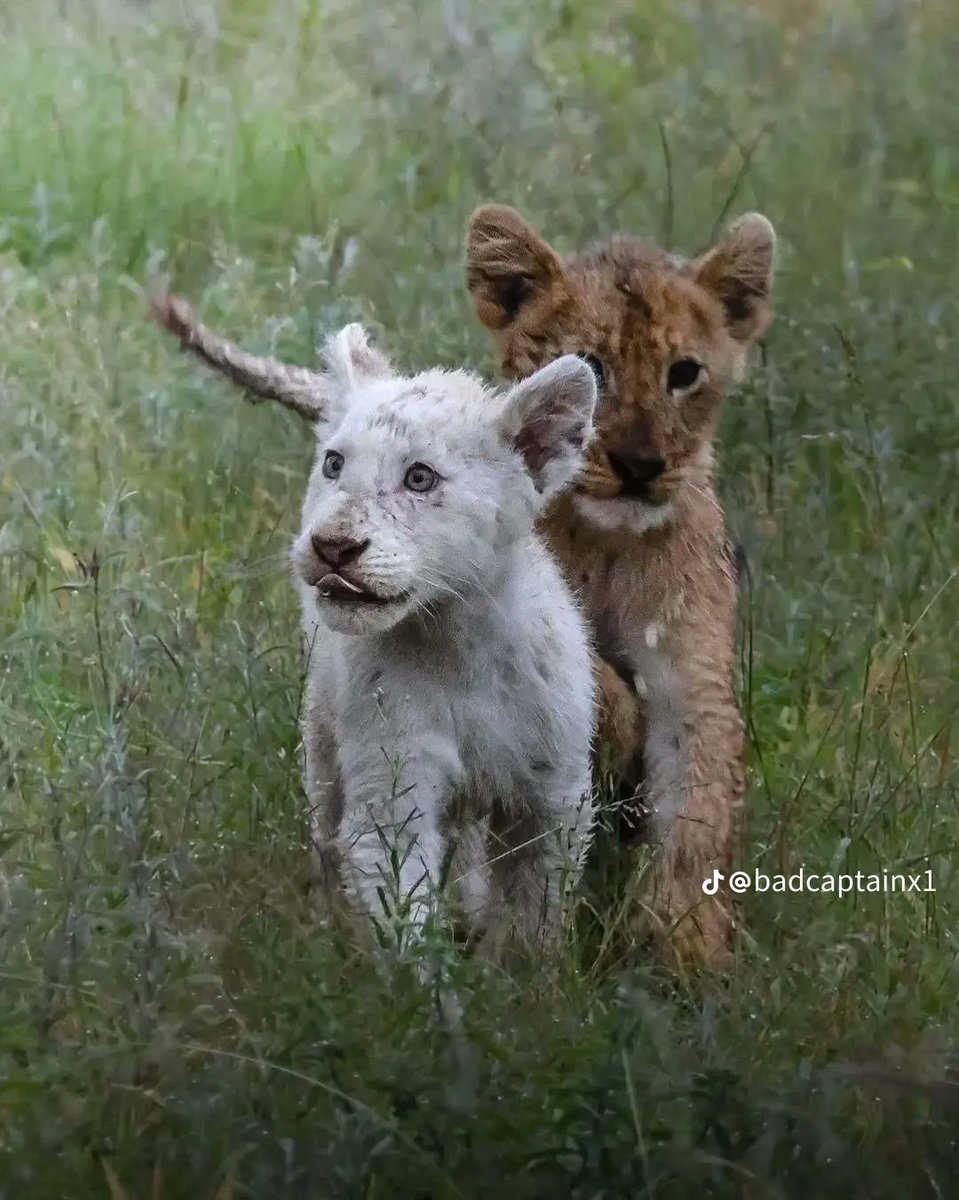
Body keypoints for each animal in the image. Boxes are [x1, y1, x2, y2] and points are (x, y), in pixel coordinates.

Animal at [466, 204, 776, 965]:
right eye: (592, 370)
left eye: (683, 373)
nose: (640, 465)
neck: (609, 542)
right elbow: (592, 681)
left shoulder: (693, 679)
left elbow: (698, 811)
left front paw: (685, 946)